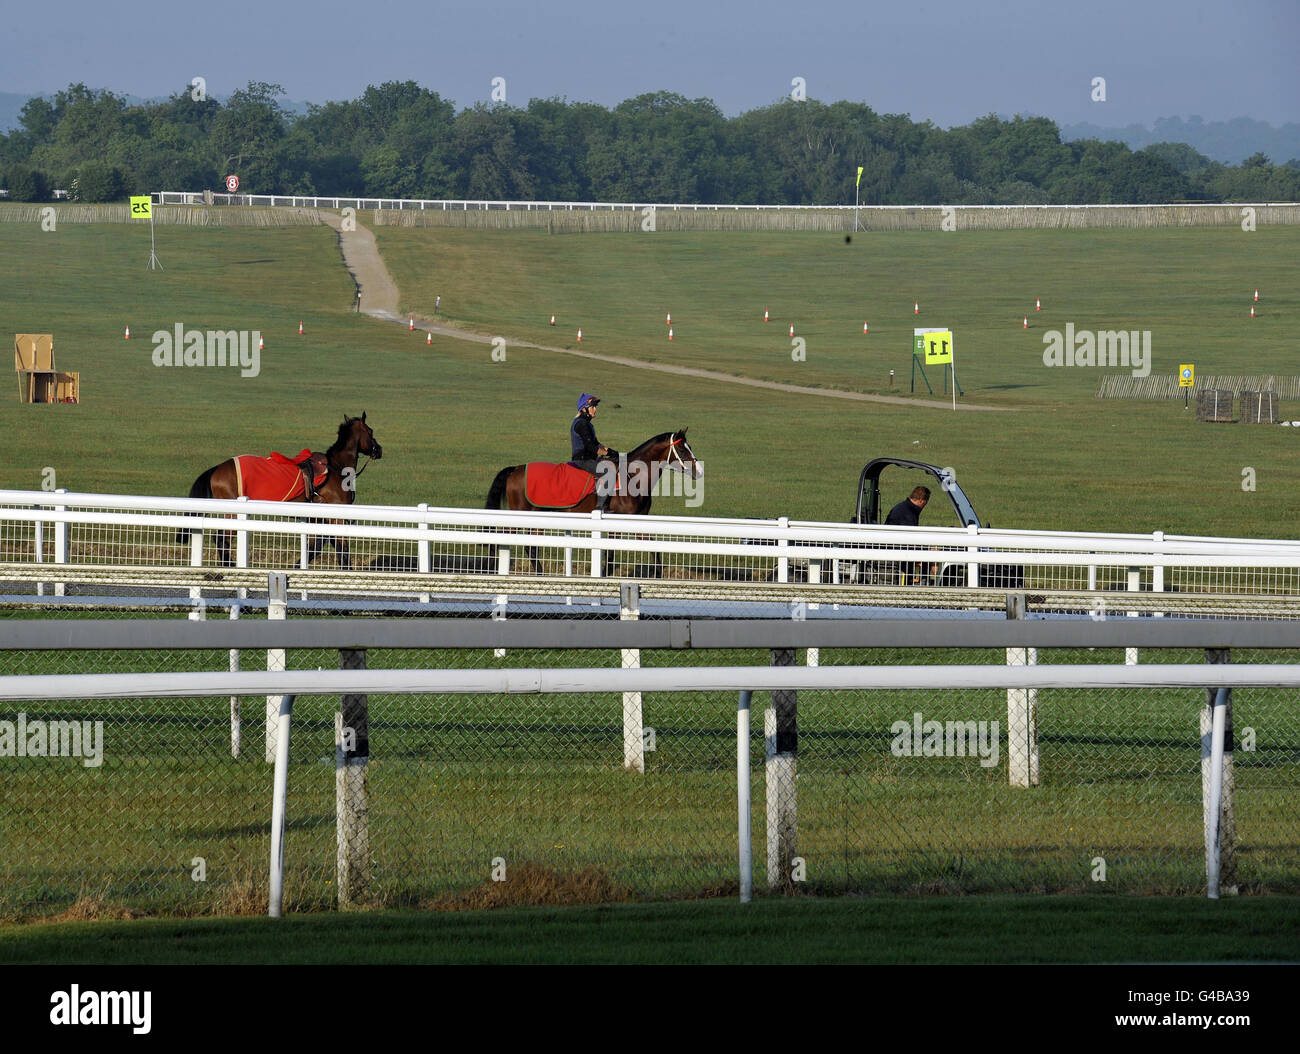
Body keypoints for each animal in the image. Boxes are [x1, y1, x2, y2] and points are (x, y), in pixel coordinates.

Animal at [178, 413, 383, 568]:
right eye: (371, 431)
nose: (379, 450)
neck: (335, 470)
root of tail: (217, 468)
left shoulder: (321, 519)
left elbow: (315, 548)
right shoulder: (335, 518)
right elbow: (341, 550)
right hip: (233, 513)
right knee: (221, 538)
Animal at [484, 429, 702, 574]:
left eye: (690, 447)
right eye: (682, 450)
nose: (699, 471)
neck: (632, 477)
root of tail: (516, 468)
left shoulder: (638, 521)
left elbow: (654, 550)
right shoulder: (617, 524)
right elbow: (611, 556)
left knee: (531, 546)